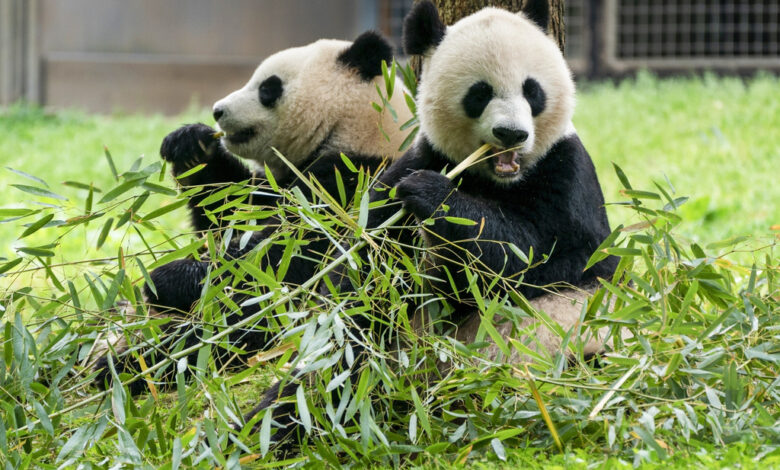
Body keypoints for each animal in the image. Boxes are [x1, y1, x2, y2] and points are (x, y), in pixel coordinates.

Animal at [94, 31, 414, 394]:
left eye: (267, 88)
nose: (217, 111)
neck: (357, 128)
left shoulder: (352, 183)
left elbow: (282, 260)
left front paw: (167, 278)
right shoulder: (278, 182)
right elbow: (228, 213)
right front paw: (190, 145)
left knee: (229, 332)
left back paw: (129, 366)